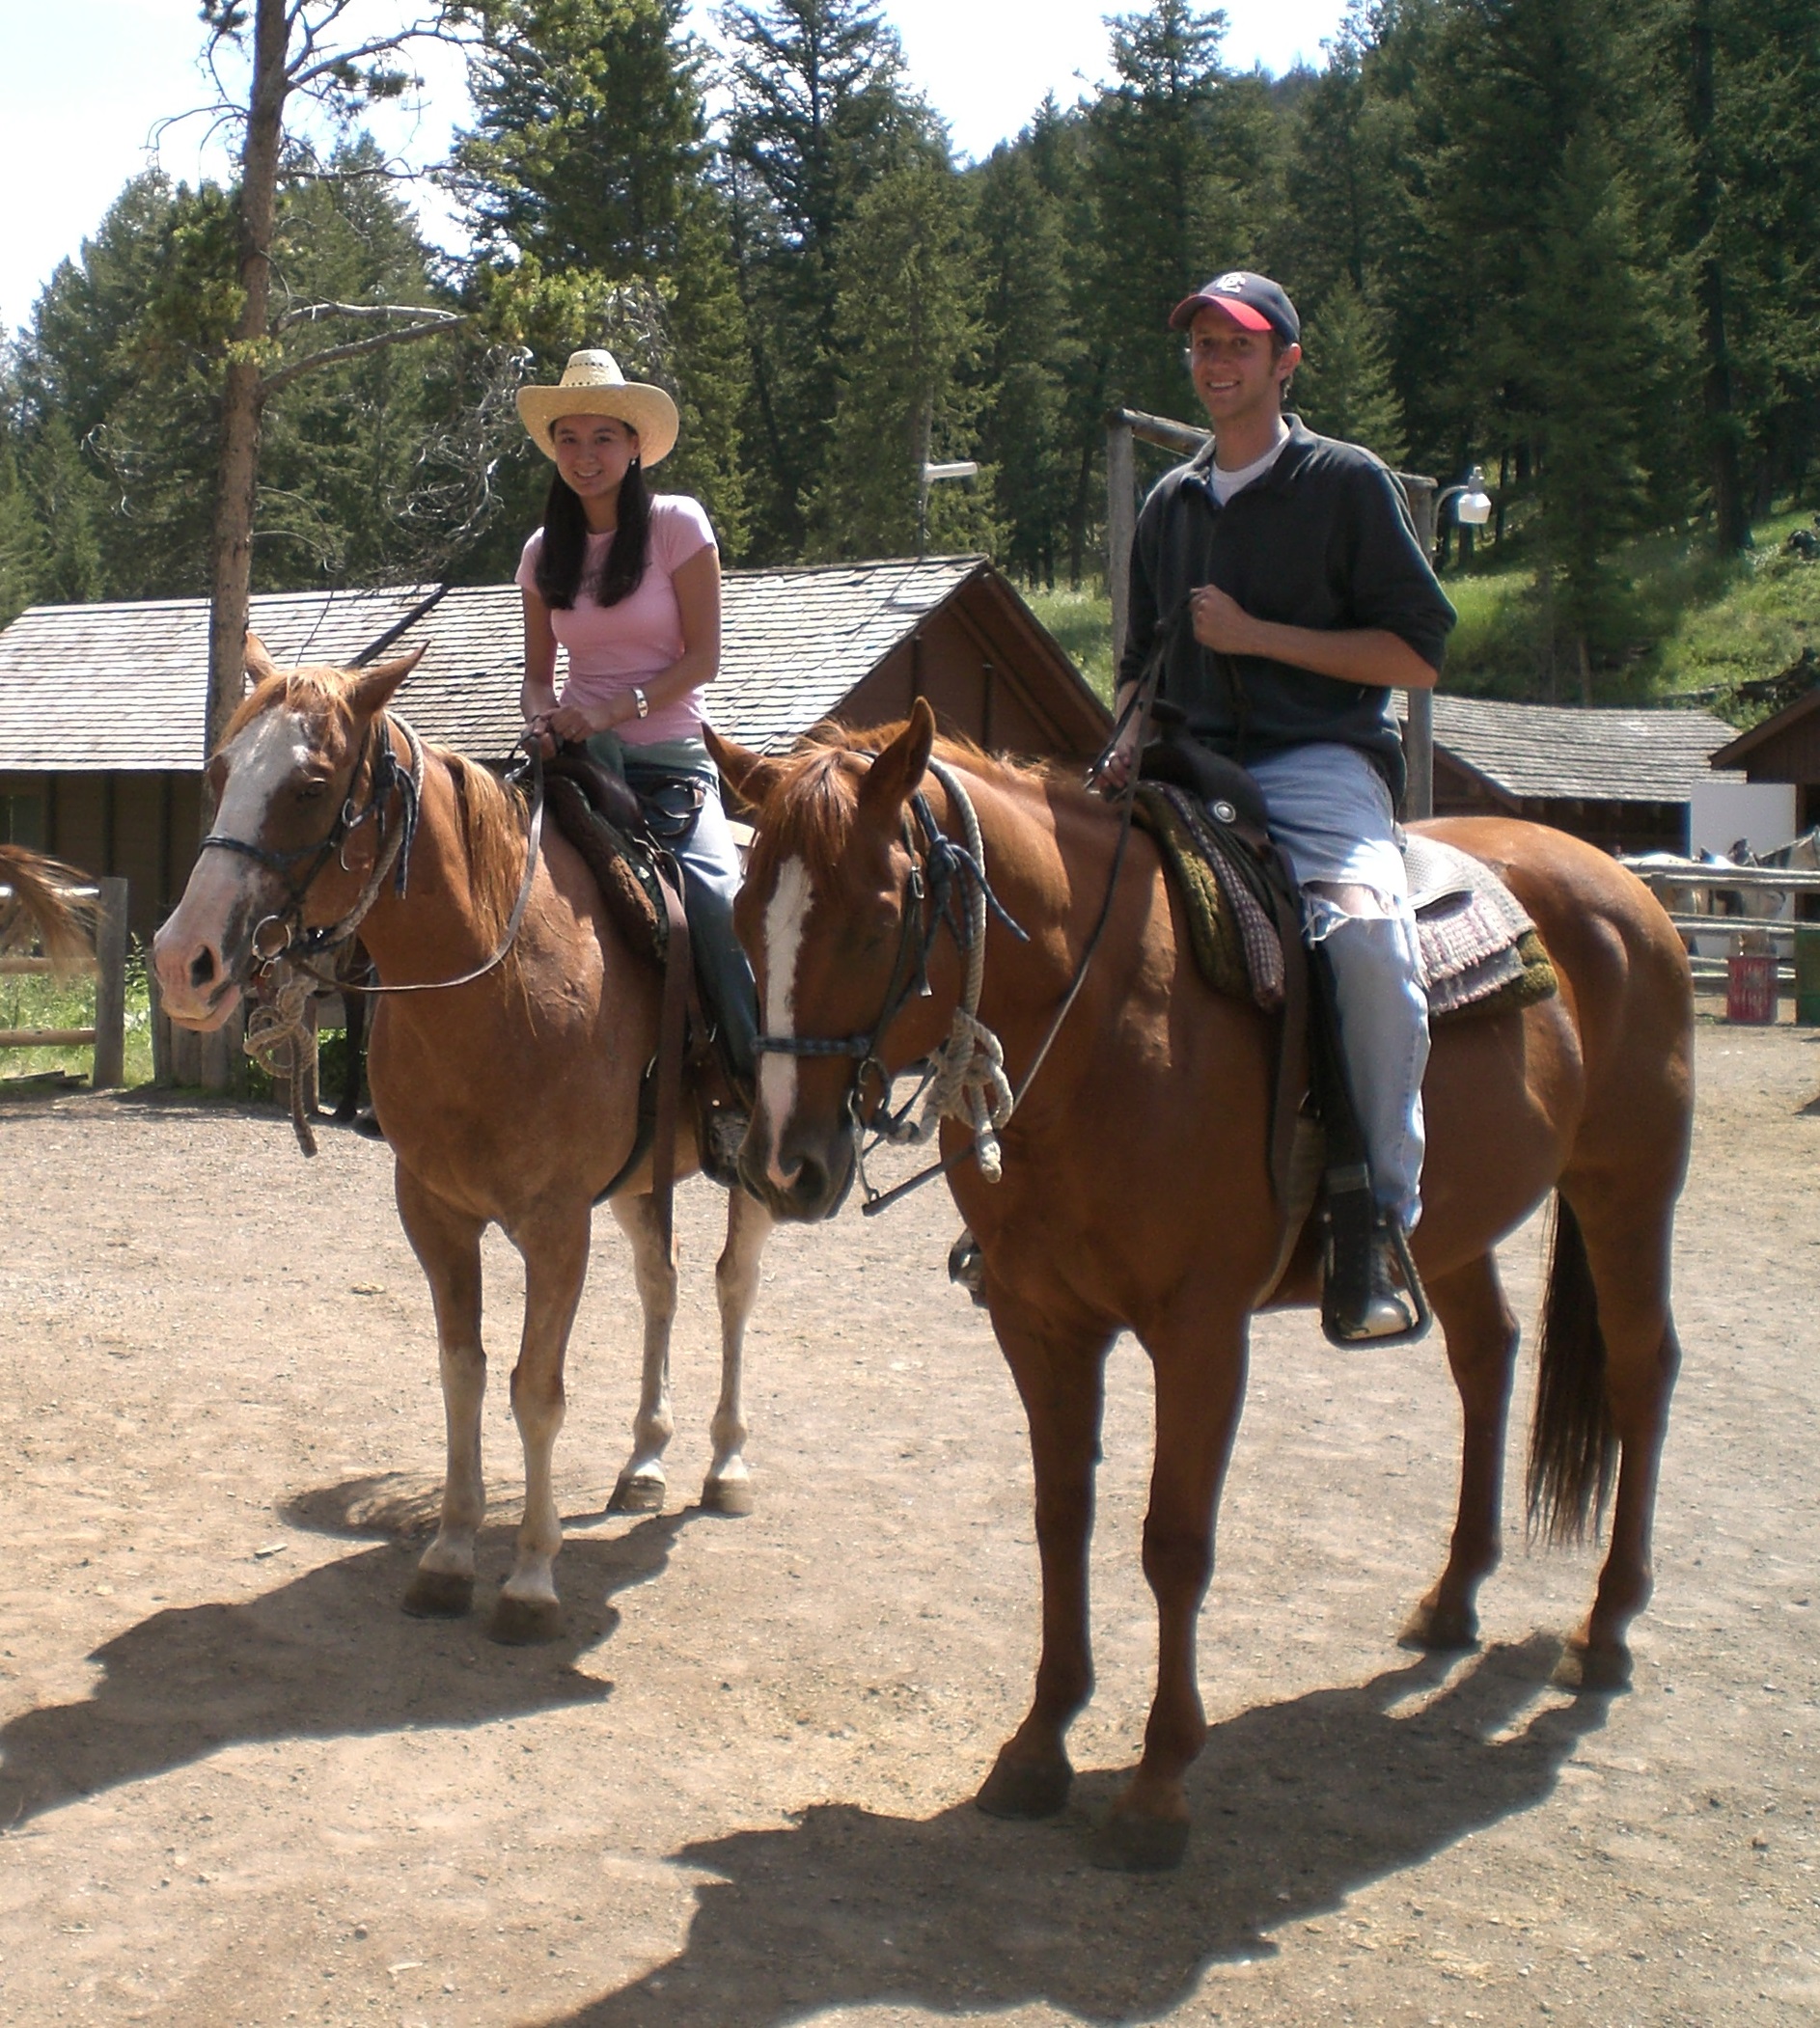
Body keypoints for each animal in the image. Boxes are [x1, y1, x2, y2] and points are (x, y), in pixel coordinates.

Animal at [158, 648, 775, 1646]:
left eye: (311, 785)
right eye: (219, 773)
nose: (184, 963)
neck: (504, 979)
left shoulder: (556, 1228)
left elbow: (536, 1391)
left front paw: (529, 1578)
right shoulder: (435, 1213)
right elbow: (463, 1374)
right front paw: (449, 1557)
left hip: (753, 1161)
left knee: (732, 1287)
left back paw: (726, 1465)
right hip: (641, 1181)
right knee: (663, 1285)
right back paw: (645, 1459)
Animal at [705, 705, 1688, 1874]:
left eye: (877, 917)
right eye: (743, 912)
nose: (783, 1166)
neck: (1102, 1026)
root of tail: (1619, 883)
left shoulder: (1201, 1334)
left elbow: (1173, 1544)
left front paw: (1156, 1787)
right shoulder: (1041, 1324)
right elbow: (1061, 1514)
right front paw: (1039, 1743)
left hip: (1627, 1186)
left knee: (1640, 1372)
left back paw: (1609, 1624)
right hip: (1457, 1224)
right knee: (1486, 1359)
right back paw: (1452, 1599)